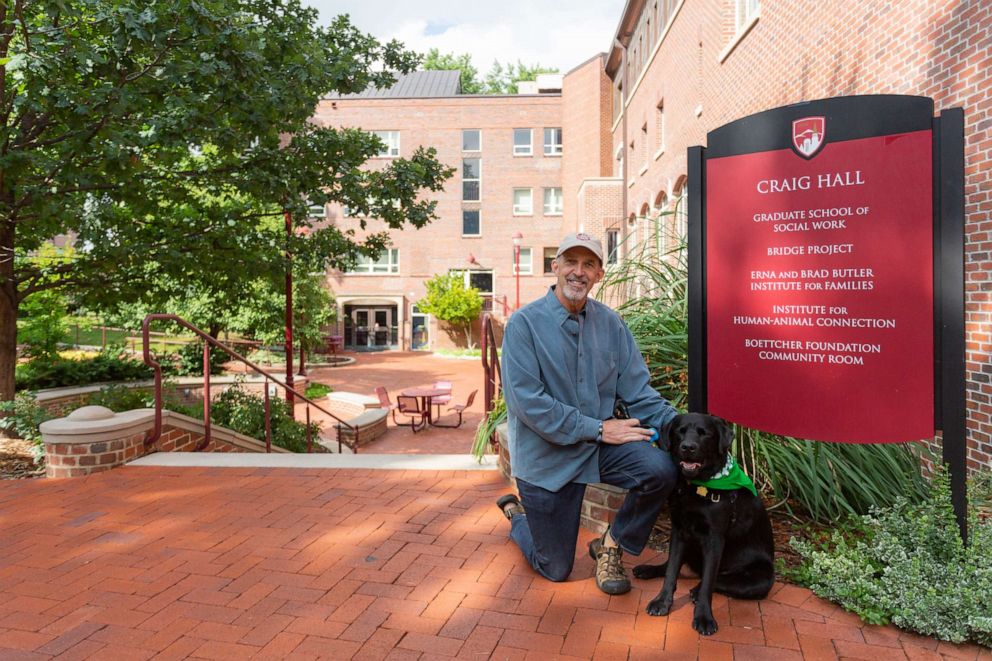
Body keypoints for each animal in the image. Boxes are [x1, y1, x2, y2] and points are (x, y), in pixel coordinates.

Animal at [636, 412, 776, 636]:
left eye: (704, 434)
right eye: (680, 431)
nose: (688, 447)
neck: (698, 487)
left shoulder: (714, 540)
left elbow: (708, 583)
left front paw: (703, 617)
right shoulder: (679, 531)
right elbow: (671, 571)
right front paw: (662, 602)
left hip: (760, 578)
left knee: (717, 580)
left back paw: (695, 590)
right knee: (671, 567)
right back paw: (648, 570)